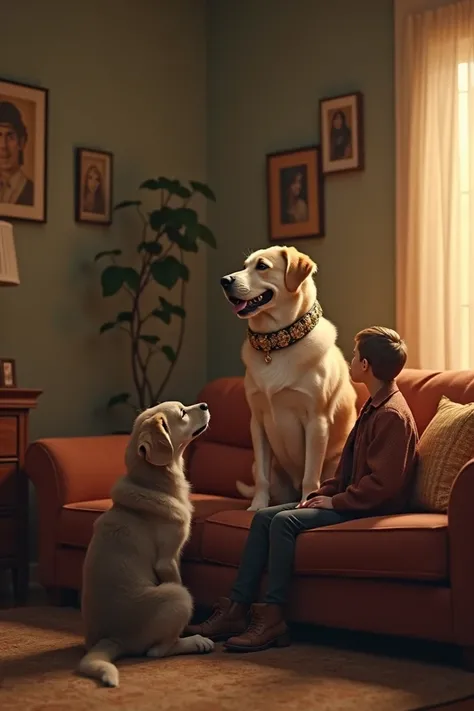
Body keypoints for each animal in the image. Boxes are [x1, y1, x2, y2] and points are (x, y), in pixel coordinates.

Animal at [78, 398, 214, 688]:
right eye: (182, 413)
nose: (206, 405)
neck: (153, 482)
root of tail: (112, 638)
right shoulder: (168, 560)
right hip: (178, 596)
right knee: (157, 651)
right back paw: (195, 642)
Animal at [220, 246, 358, 512]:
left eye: (262, 266)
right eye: (244, 266)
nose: (224, 281)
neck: (275, 343)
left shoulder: (317, 422)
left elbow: (310, 475)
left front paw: (306, 503)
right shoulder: (258, 423)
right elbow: (262, 479)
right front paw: (256, 507)